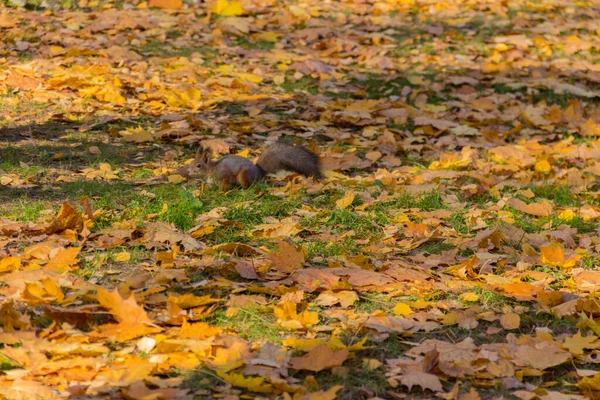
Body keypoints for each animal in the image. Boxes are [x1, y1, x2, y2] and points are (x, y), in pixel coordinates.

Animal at [180, 142, 322, 191]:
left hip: (243, 175)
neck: (211, 169)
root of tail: (259, 173)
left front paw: (221, 192)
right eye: (190, 163)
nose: (188, 172)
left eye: (198, 165)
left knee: (248, 186)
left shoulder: (224, 174)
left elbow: (223, 184)